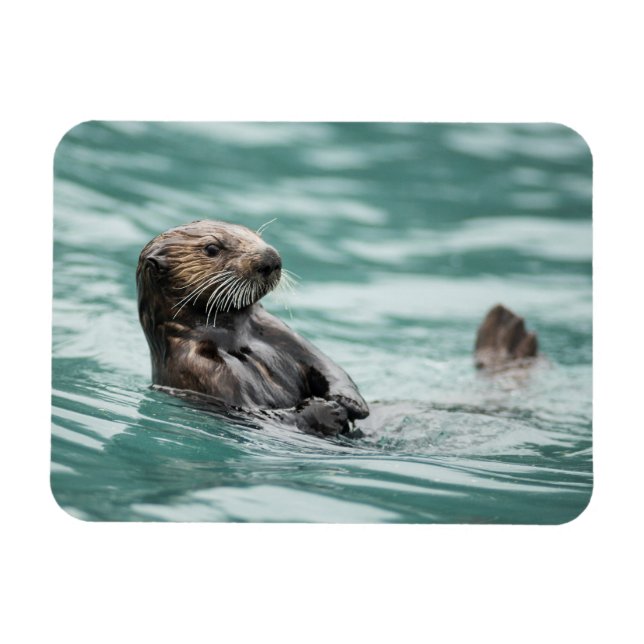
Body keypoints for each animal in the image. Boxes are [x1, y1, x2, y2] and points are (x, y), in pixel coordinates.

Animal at [137, 220, 537, 437]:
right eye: (211, 248)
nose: (271, 258)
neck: (235, 338)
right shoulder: (200, 369)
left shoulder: (276, 330)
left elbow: (328, 365)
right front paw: (327, 412)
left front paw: (349, 402)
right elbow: (259, 413)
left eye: (253, 233)